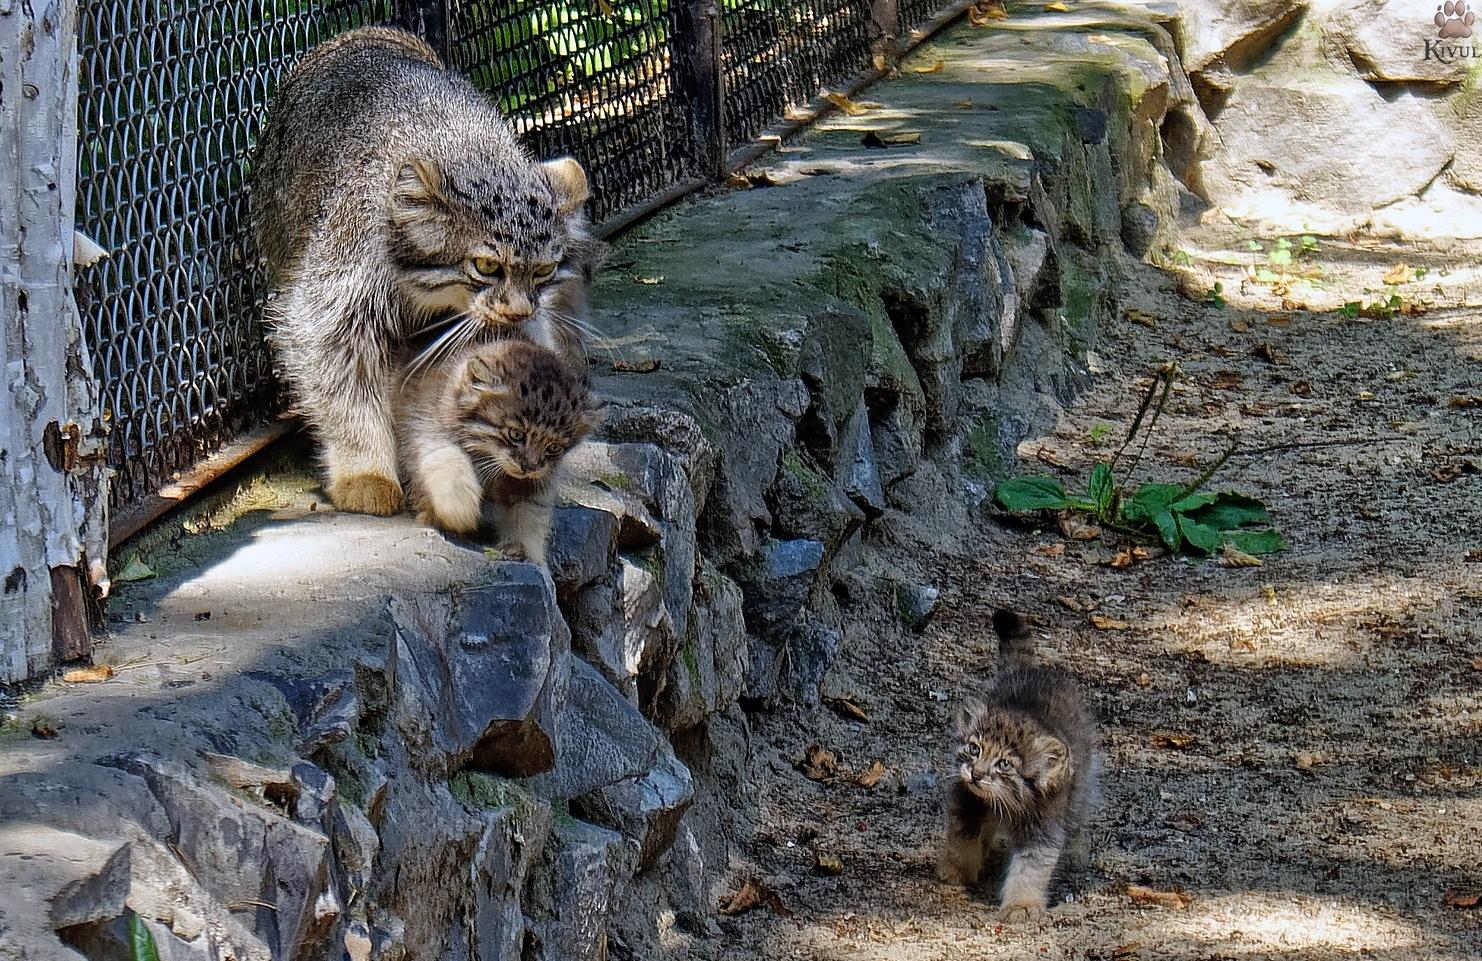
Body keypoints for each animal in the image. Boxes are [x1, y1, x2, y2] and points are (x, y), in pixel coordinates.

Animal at [251, 26, 598, 519]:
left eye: (544, 270)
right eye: (486, 265)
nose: (516, 311)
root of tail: (361, 32)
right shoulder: (334, 306)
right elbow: (344, 392)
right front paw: (365, 474)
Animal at [400, 338, 601, 563]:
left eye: (553, 447)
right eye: (516, 434)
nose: (529, 466)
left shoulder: (539, 481)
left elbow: (531, 513)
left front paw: (525, 550)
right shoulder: (425, 427)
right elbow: (448, 459)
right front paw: (459, 510)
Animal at [936, 611, 1102, 919]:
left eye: (1004, 765)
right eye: (974, 749)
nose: (976, 774)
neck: (1006, 803)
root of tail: (1033, 670)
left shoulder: (1043, 827)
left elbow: (1030, 868)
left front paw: (1021, 905)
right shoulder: (967, 803)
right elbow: (963, 839)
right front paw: (957, 873)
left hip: (1080, 785)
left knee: (1078, 814)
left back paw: (1076, 851)